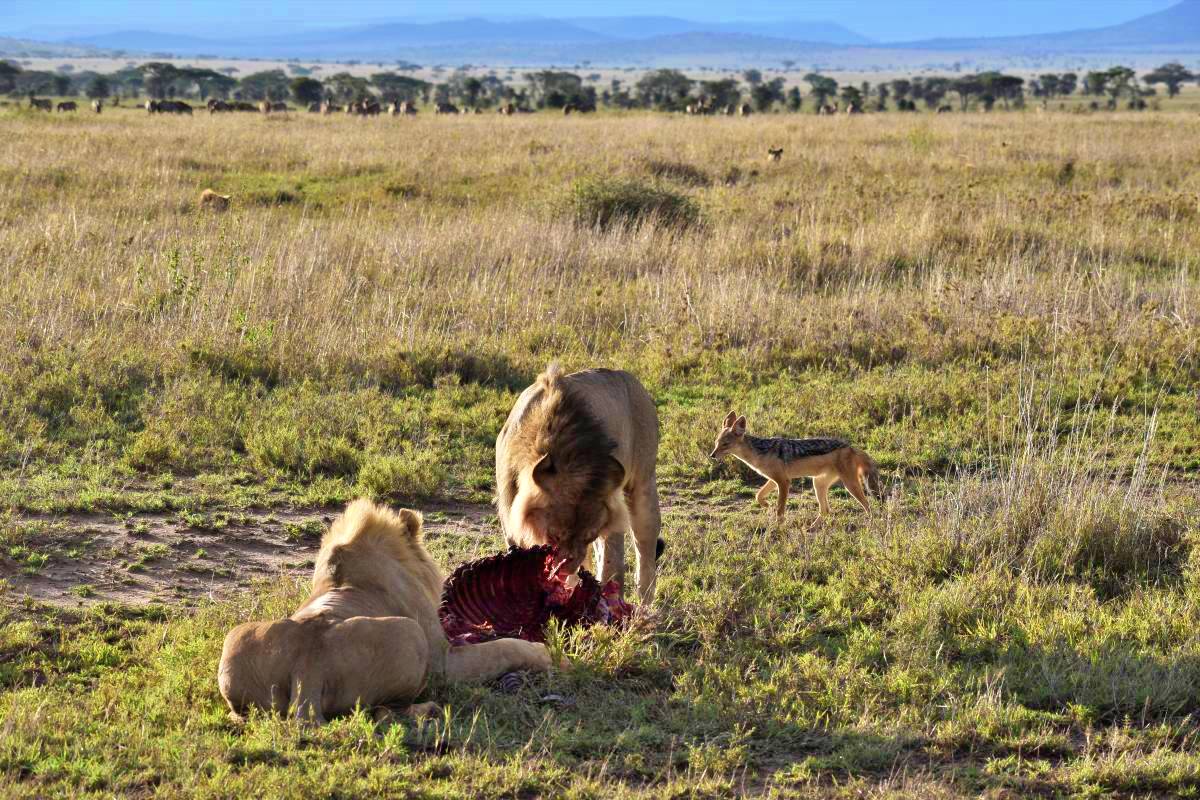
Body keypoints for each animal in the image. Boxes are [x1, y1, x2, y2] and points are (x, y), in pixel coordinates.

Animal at [217, 501, 552, 724]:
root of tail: (308, 670)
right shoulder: (444, 660)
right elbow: (502, 649)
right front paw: (543, 652)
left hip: (238, 638)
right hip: (411, 635)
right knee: (383, 712)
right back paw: (428, 709)